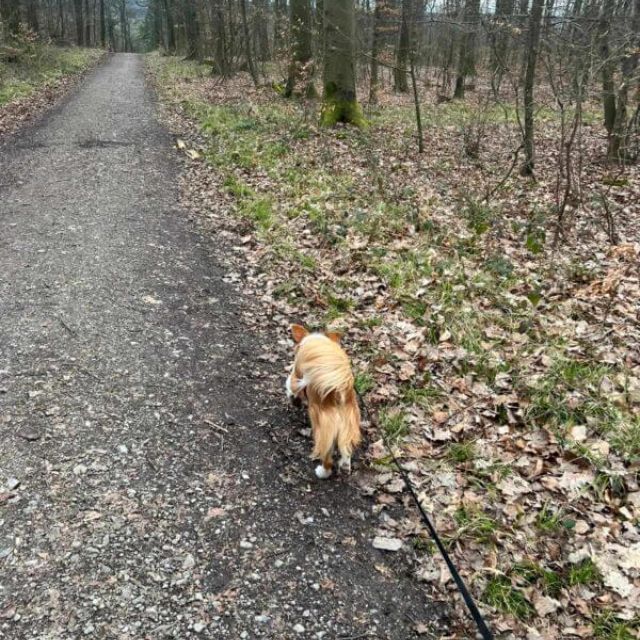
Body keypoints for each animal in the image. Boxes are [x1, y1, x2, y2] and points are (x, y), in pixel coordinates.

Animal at [288, 324, 362, 480]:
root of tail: (339, 389)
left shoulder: (295, 376)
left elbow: (290, 386)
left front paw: (293, 398)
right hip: (349, 422)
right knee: (346, 449)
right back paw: (345, 466)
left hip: (322, 424)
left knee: (327, 454)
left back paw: (323, 472)